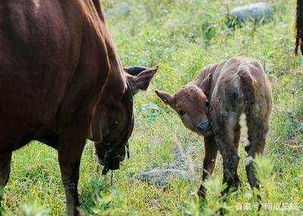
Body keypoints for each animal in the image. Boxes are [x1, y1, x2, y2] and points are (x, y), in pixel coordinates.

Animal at [157, 57, 274, 197]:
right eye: (181, 111)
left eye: (206, 102)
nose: (204, 126)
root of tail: (244, 74)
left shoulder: (211, 136)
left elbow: (208, 163)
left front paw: (201, 195)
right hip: (260, 125)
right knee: (251, 161)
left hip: (220, 128)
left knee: (230, 158)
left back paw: (222, 197)